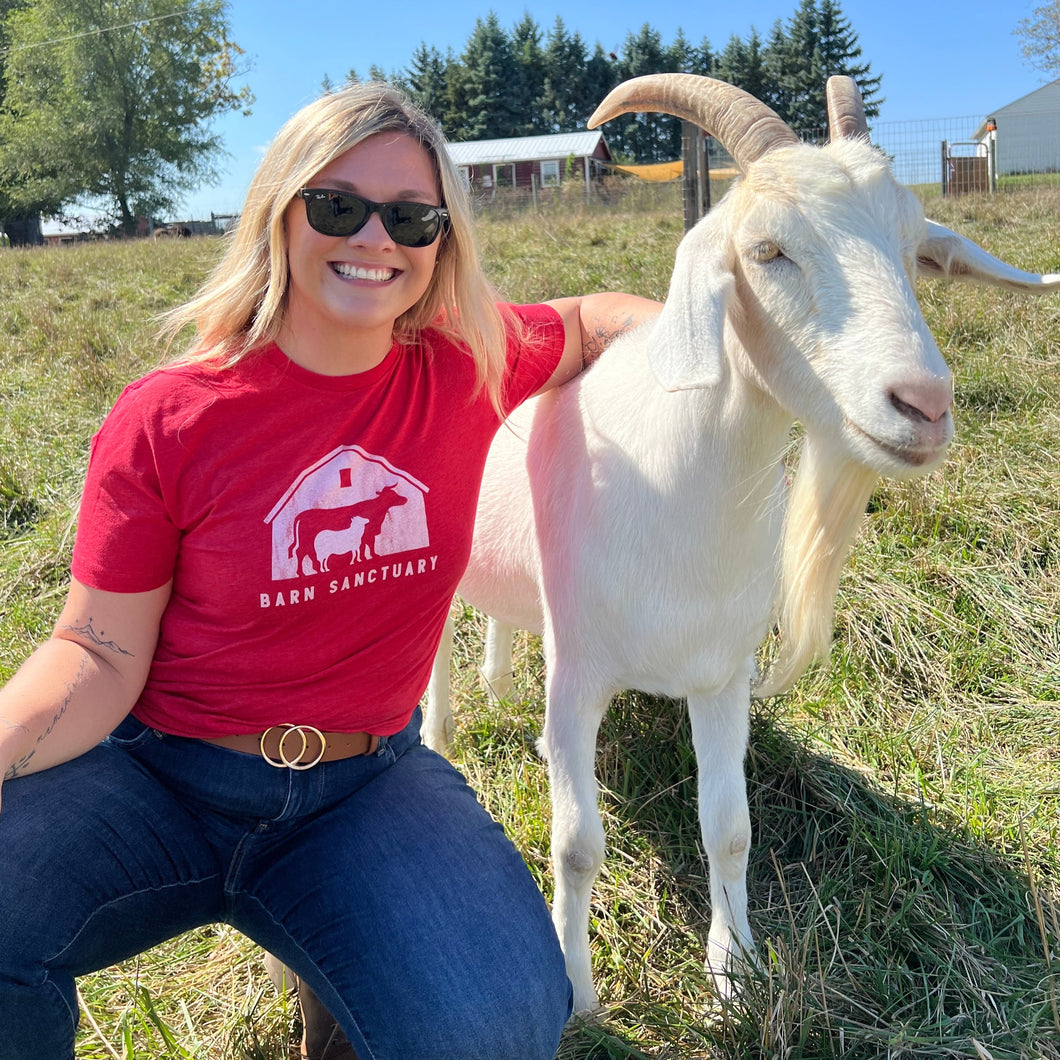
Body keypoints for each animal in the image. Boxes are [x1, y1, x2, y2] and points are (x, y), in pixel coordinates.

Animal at [423, 74, 1060, 1009]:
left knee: (504, 620)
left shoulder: (721, 674)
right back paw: (443, 737)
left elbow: (729, 827)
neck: (679, 496)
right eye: (767, 251)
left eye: (915, 252)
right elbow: (577, 844)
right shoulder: (579, 678)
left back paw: (501, 689)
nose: (925, 405)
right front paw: (576, 989)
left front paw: (737, 969)